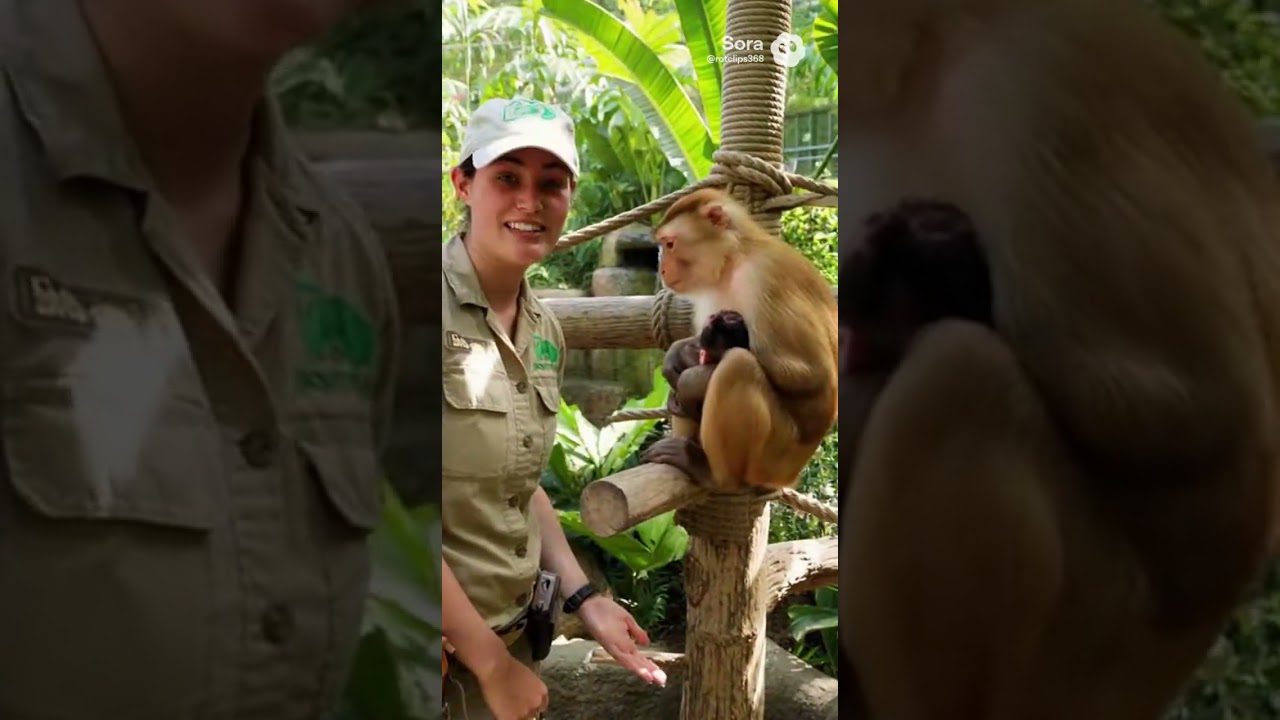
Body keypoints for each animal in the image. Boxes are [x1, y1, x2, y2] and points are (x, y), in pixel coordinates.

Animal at [640, 188, 838, 493]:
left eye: (670, 244)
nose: (662, 270)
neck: (732, 261)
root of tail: (793, 472)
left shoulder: (765, 279)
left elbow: (813, 378)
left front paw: (692, 379)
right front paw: (679, 352)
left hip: (775, 458)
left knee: (739, 366)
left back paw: (713, 474)